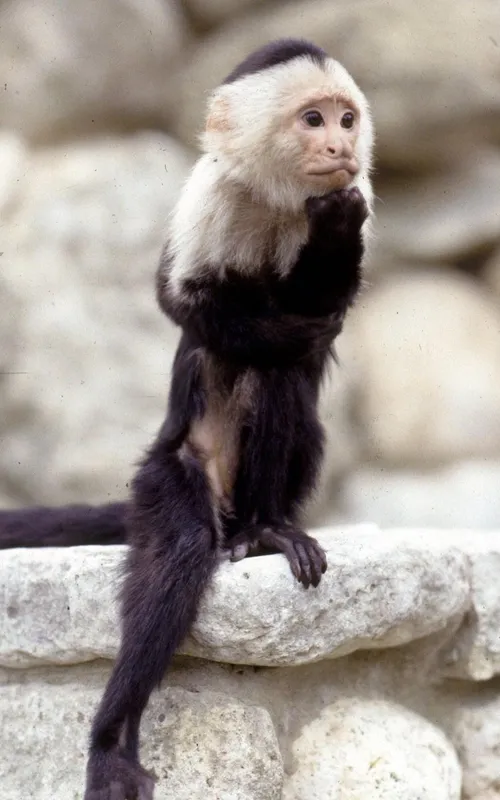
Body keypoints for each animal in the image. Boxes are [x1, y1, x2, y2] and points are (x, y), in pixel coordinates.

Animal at [0, 38, 374, 799]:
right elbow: (185, 303)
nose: (340, 146)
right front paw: (273, 311)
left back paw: (267, 528)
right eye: (313, 119)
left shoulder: (361, 196)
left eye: (347, 120)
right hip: (170, 473)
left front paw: (333, 227)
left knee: (278, 391)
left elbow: (320, 312)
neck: (279, 201)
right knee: (180, 550)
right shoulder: (209, 198)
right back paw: (111, 740)